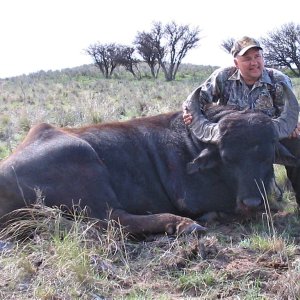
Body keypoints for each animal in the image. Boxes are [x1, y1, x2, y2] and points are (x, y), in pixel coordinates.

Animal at [0, 85, 298, 236]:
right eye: (227, 157)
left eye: (267, 155)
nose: (251, 202)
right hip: (87, 165)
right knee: (114, 220)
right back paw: (183, 224)